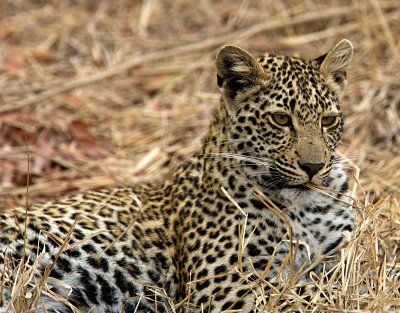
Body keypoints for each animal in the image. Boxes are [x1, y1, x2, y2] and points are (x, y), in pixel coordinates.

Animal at [0, 39, 356, 312]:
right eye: (281, 119)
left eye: (327, 121)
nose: (313, 167)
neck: (304, 208)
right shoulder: (225, 284)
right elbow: (303, 292)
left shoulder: (338, 255)